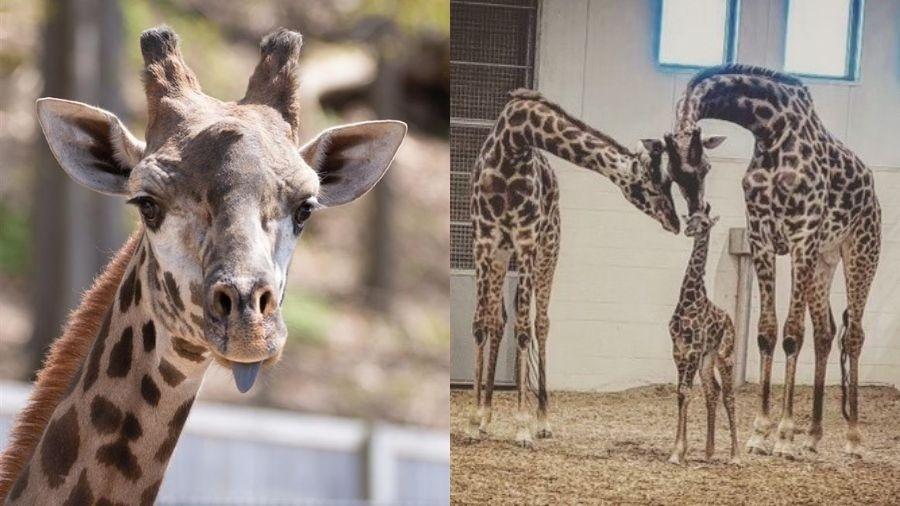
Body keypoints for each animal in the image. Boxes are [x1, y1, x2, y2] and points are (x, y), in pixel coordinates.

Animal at [468, 90, 680, 446]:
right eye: (651, 184)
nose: (676, 223)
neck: (513, 143)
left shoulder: (527, 242)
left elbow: (524, 329)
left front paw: (523, 426)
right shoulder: (484, 242)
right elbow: (481, 325)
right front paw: (473, 423)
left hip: (549, 248)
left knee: (540, 323)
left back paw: (542, 420)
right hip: (503, 254)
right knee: (498, 320)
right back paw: (485, 416)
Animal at [668, 204, 740, 464]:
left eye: (706, 223)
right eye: (691, 219)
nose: (689, 230)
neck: (688, 300)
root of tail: (730, 320)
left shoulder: (693, 350)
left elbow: (686, 392)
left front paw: (677, 452)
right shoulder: (679, 351)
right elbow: (681, 393)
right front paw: (680, 449)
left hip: (724, 355)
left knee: (729, 396)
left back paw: (736, 455)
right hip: (707, 359)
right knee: (713, 390)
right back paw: (709, 451)